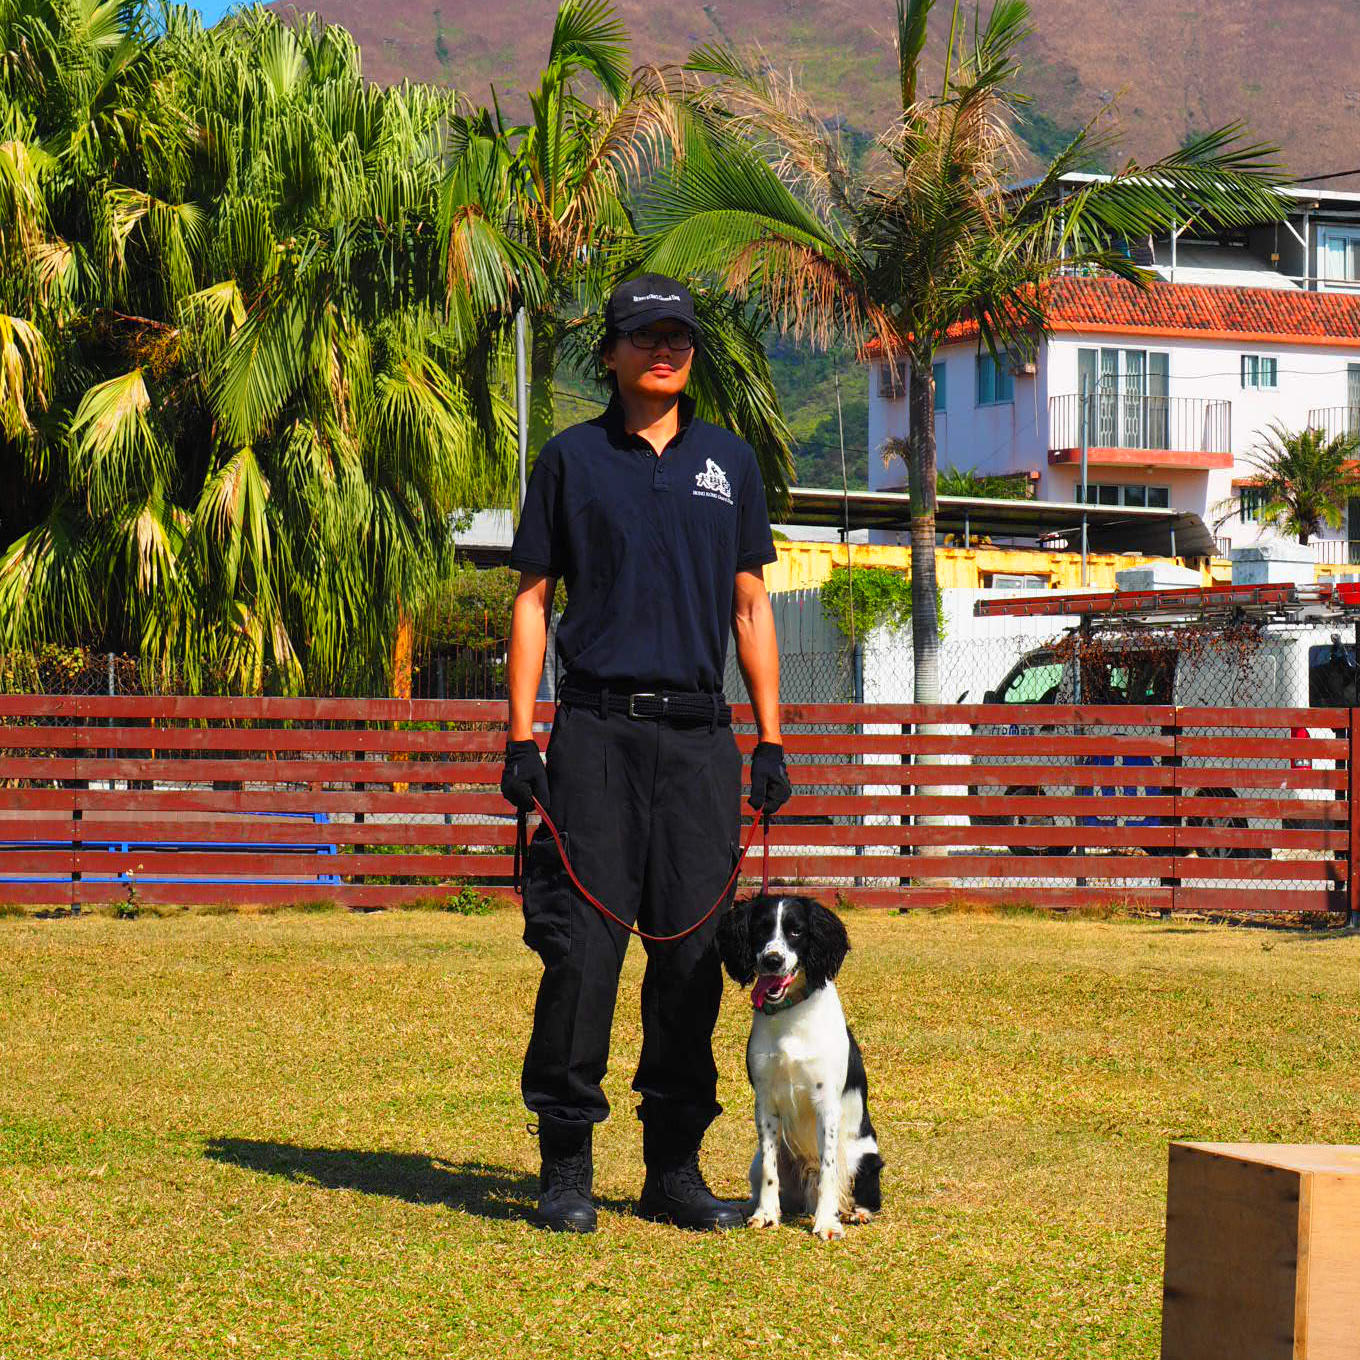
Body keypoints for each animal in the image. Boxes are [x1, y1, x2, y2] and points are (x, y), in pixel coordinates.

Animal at [718, 892, 886, 1245]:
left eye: (796, 931)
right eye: (761, 928)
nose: (772, 960)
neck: (790, 1014)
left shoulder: (827, 1104)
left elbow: (828, 1170)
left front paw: (826, 1223)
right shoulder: (766, 1102)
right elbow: (770, 1170)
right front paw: (766, 1215)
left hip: (864, 1156)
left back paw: (855, 1213)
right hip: (757, 1160)